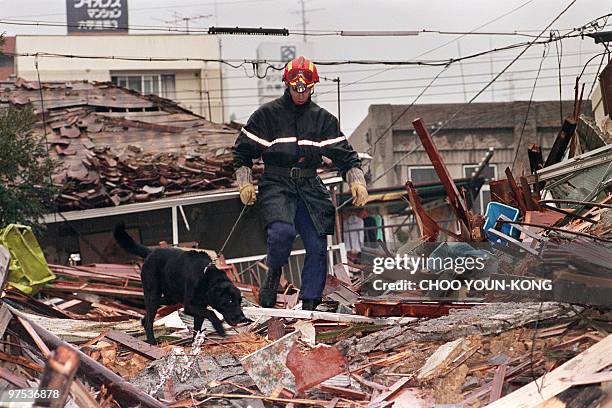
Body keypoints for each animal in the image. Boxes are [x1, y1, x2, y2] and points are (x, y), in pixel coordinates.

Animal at [113, 223, 247, 344]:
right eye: (229, 301)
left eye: (239, 301)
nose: (241, 318)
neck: (205, 276)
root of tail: (151, 252)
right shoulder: (189, 306)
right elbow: (211, 312)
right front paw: (219, 328)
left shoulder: (199, 307)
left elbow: (197, 327)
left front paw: (194, 344)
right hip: (153, 293)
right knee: (150, 318)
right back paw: (152, 341)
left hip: (170, 297)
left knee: (152, 309)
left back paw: (143, 321)